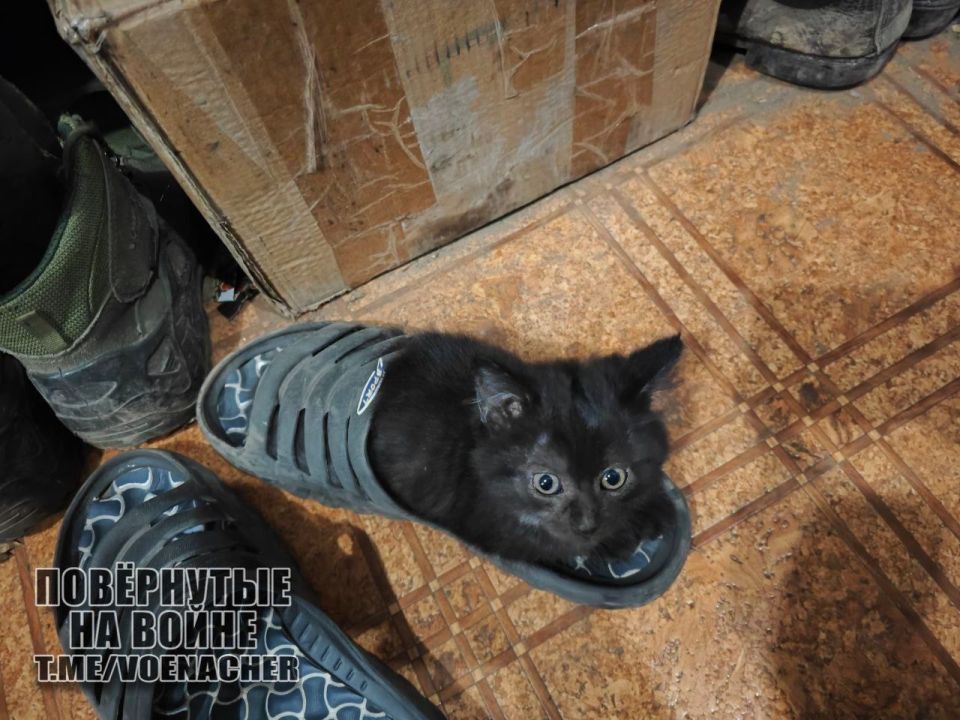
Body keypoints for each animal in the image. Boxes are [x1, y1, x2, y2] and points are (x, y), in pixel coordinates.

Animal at [369, 331, 683, 566]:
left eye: (614, 477)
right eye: (546, 483)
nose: (586, 524)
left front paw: (654, 506)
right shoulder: (492, 525)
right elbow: (555, 544)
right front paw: (621, 537)